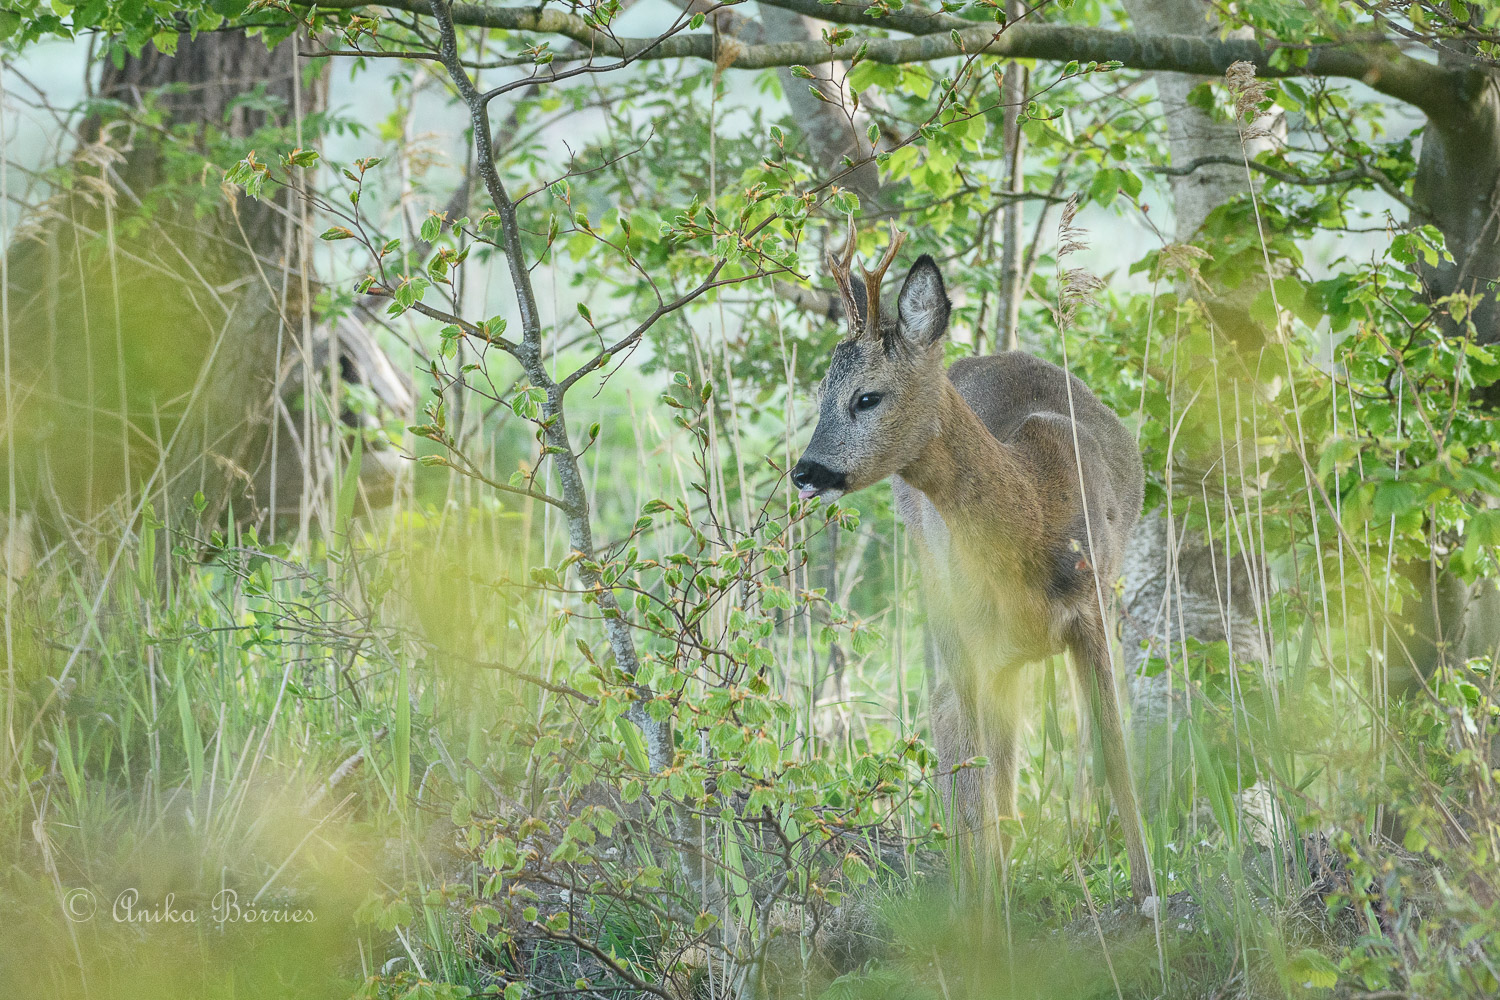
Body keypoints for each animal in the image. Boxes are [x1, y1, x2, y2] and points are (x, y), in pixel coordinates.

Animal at [792, 229, 1152, 905]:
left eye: (866, 396)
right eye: (820, 394)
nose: (805, 471)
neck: (1035, 509)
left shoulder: (1092, 613)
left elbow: (1116, 762)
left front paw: (1150, 895)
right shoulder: (974, 630)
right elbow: (976, 779)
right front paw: (985, 913)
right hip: (944, 603)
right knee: (953, 732)